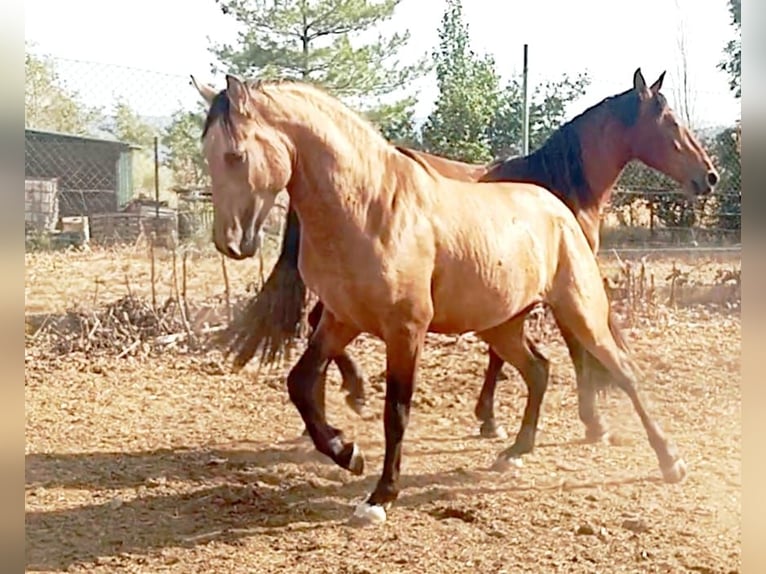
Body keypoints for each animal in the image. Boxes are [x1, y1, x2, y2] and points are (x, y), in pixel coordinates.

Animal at [199, 75, 688, 524]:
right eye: (208, 153)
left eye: (235, 155)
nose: (230, 242)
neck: (371, 207)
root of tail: (557, 207)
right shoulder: (341, 319)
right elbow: (299, 383)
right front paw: (347, 452)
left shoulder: (405, 330)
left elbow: (396, 412)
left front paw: (381, 495)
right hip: (502, 323)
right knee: (538, 369)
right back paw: (516, 450)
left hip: (580, 310)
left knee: (622, 372)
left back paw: (669, 461)